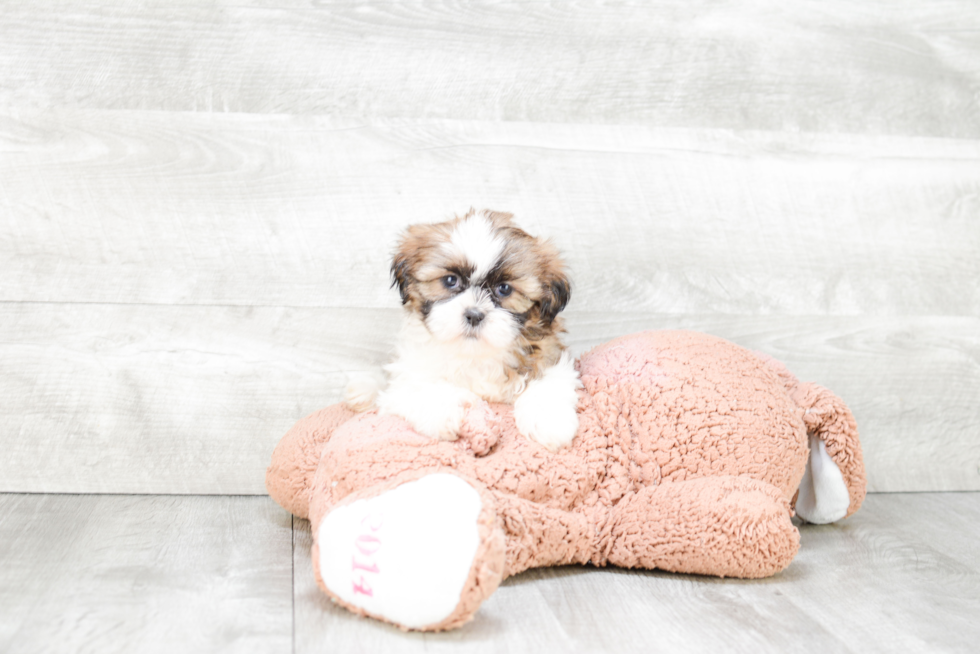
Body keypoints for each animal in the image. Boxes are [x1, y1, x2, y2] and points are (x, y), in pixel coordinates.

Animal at [342, 209, 580, 452]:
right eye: (450, 280)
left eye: (504, 289)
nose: (474, 315)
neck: (472, 354)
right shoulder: (409, 376)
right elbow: (418, 387)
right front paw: (442, 414)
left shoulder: (549, 355)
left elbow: (547, 381)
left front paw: (549, 422)